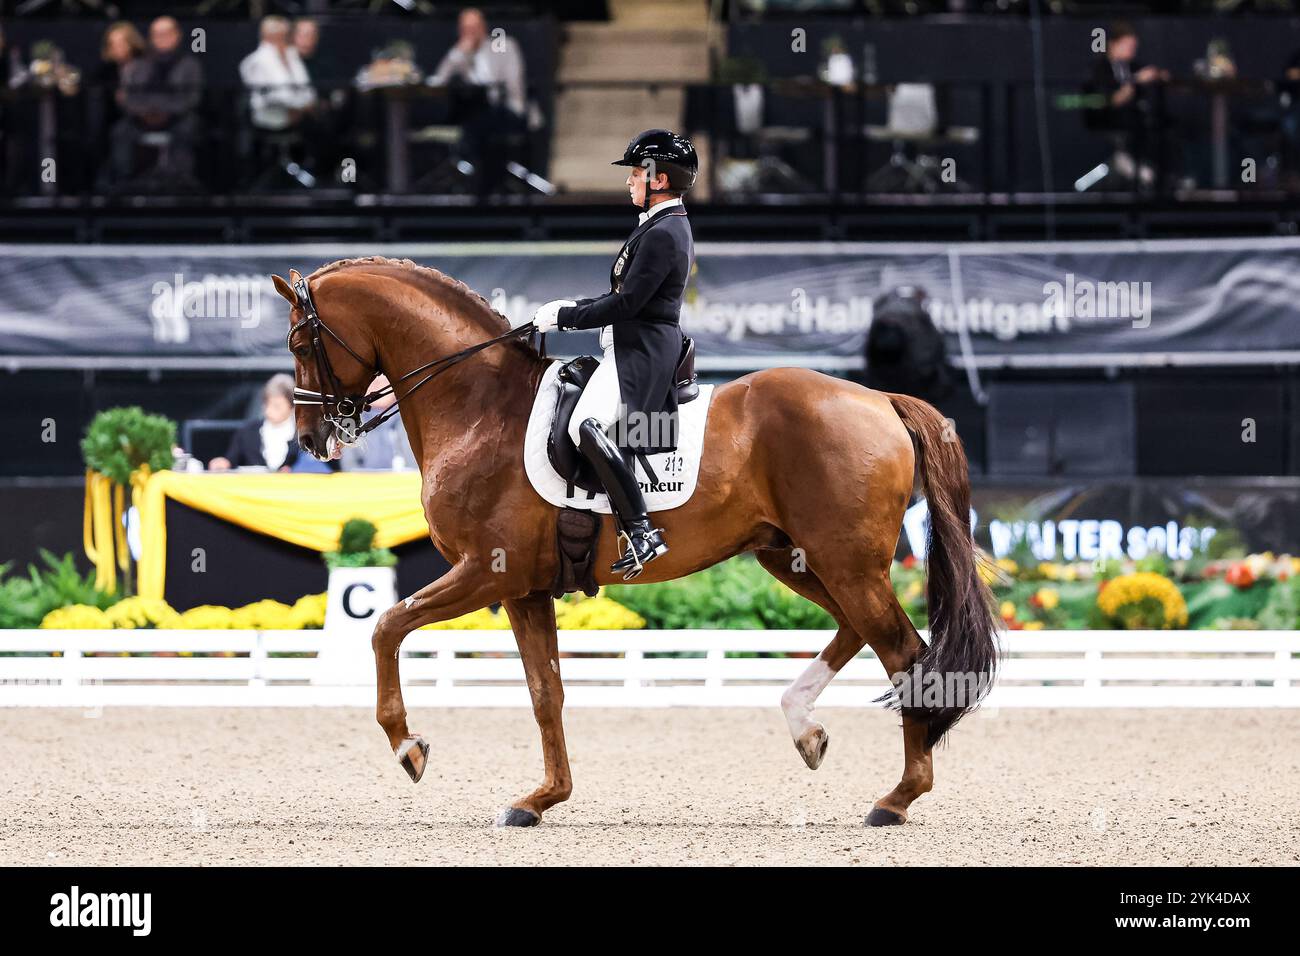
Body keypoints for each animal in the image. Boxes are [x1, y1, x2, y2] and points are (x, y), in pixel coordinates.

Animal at [274, 257, 998, 827]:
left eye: (300, 341)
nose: (311, 439)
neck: (479, 407)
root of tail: (880, 399)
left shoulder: (489, 573)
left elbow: (385, 627)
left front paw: (410, 748)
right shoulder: (525, 589)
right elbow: (545, 692)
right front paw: (540, 799)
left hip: (844, 562)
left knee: (904, 652)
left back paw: (896, 798)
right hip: (793, 556)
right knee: (861, 632)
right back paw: (806, 729)